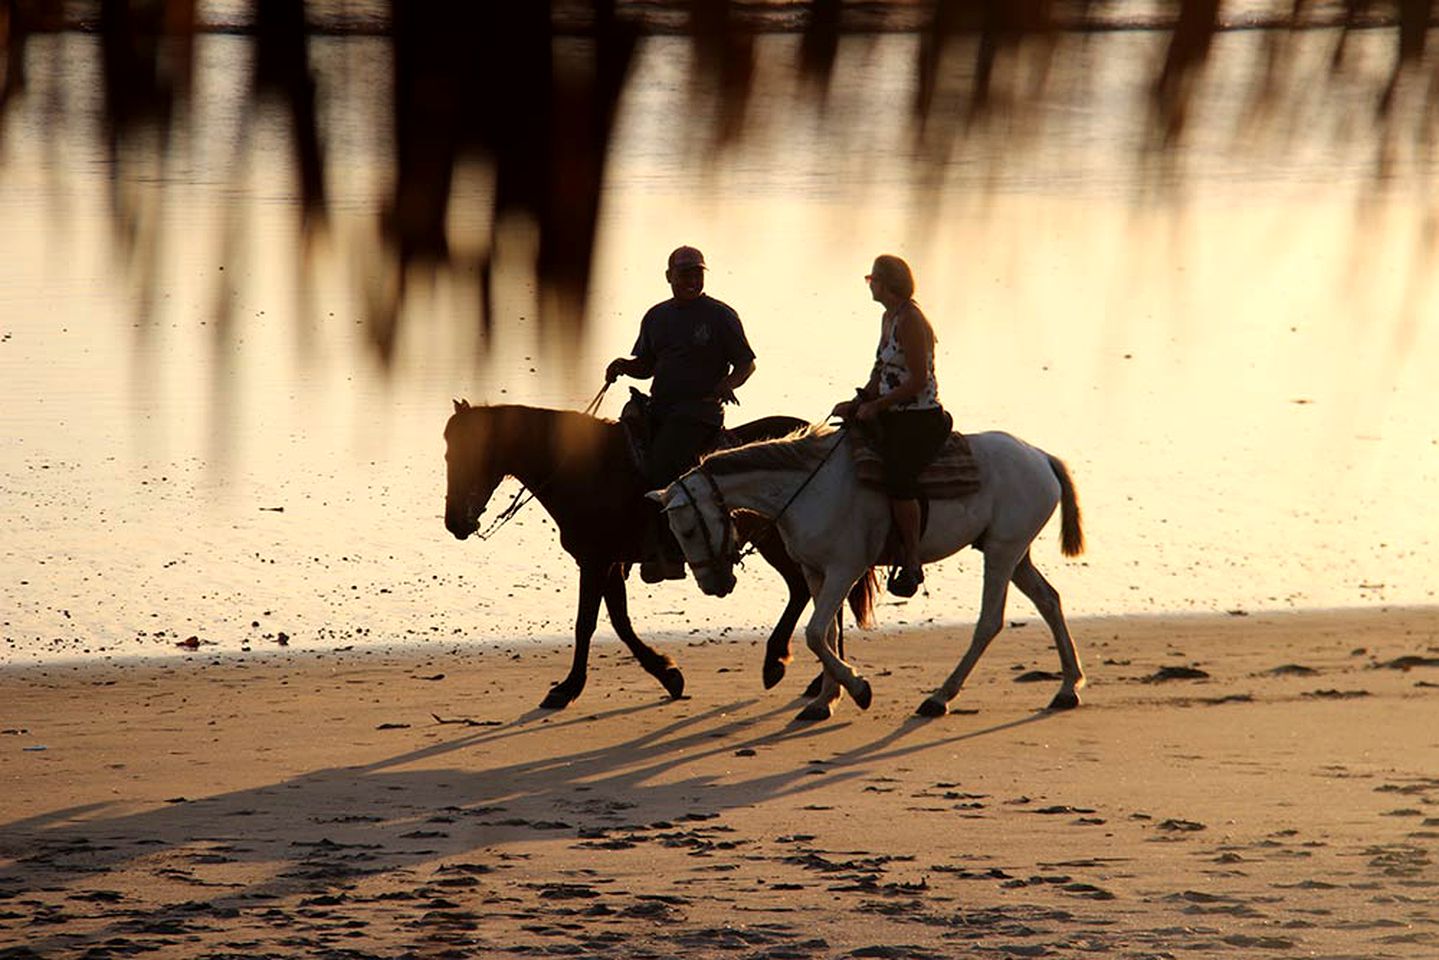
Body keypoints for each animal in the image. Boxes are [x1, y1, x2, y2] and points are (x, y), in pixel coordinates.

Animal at [440, 402, 863, 711]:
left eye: (470, 452)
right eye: (447, 453)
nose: (454, 522)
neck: (583, 468)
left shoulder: (595, 561)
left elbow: (586, 623)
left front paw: (567, 688)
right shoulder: (607, 562)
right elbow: (619, 621)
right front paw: (667, 674)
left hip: (780, 542)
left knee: (807, 591)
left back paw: (783, 664)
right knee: (813, 593)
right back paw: (811, 676)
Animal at [647, 423, 1082, 725]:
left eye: (688, 529)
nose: (713, 585)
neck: (807, 490)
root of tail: (1041, 457)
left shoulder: (845, 569)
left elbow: (815, 633)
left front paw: (857, 689)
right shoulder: (815, 572)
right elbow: (828, 634)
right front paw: (825, 700)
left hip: (1002, 552)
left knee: (990, 621)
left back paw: (939, 697)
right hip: (1015, 554)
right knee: (1050, 600)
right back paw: (1068, 688)